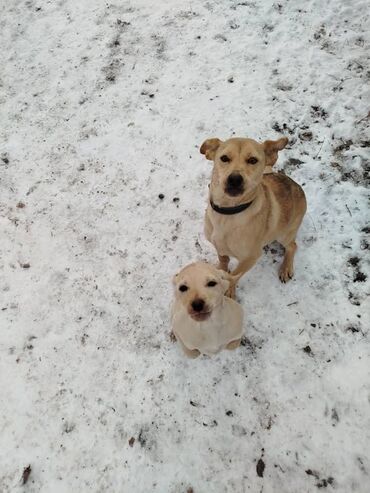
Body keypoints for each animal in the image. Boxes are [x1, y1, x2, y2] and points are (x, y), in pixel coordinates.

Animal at [201, 135, 308, 296]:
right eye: (224, 158)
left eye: (253, 160)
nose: (234, 179)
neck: (229, 212)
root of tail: (297, 186)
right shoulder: (219, 246)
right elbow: (223, 260)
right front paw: (220, 272)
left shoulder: (251, 257)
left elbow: (234, 275)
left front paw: (229, 290)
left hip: (284, 234)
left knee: (293, 246)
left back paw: (286, 268)